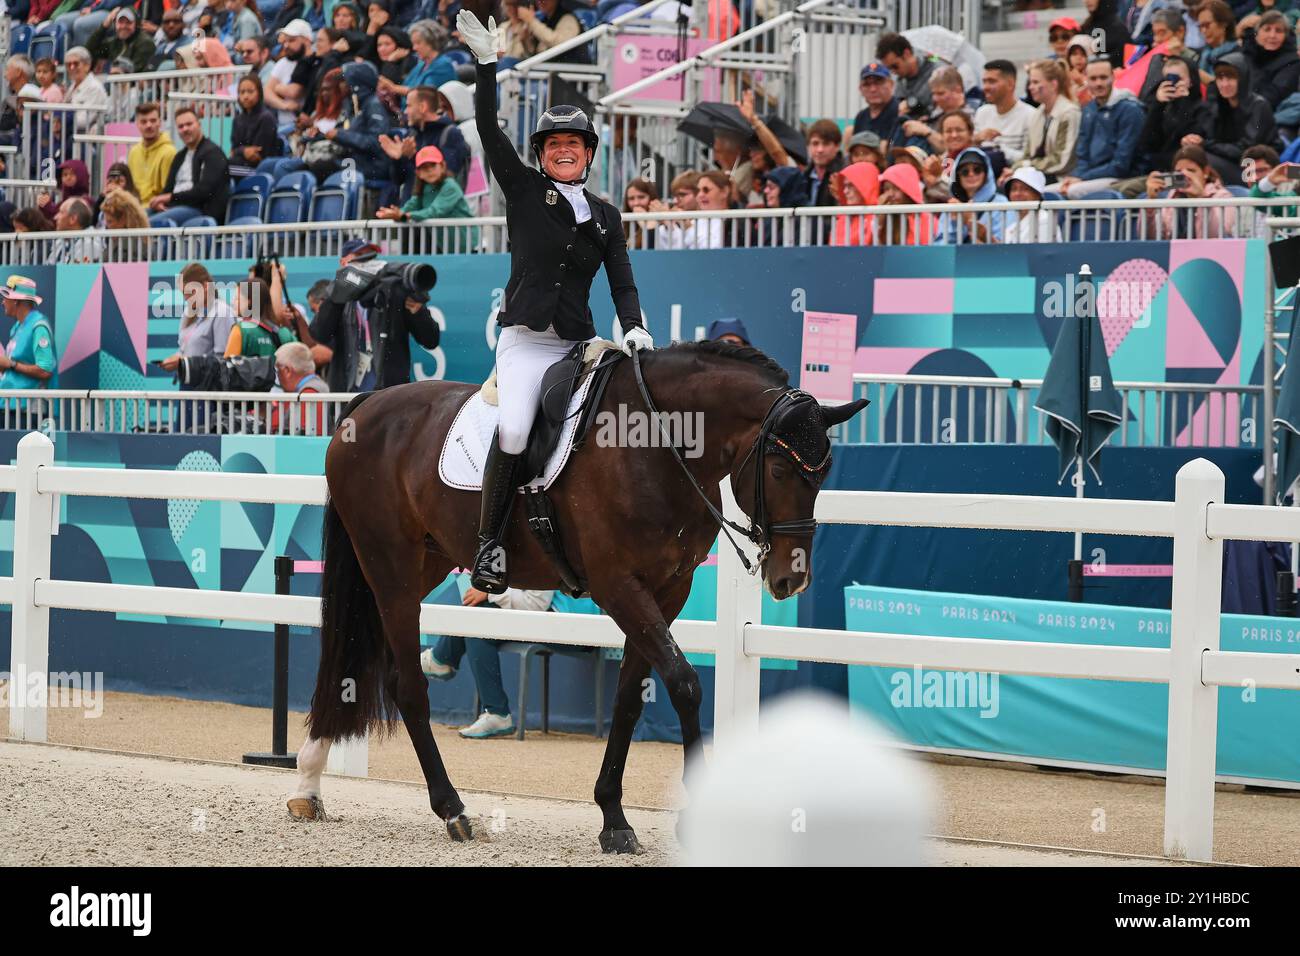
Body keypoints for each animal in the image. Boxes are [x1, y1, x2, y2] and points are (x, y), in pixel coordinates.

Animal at [289, 343, 868, 853]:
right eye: (779, 470)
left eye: (825, 472)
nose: (791, 579)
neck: (657, 447)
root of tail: (368, 403)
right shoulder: (618, 586)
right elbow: (684, 684)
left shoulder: (667, 591)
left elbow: (630, 697)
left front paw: (613, 818)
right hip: (389, 569)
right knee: (406, 685)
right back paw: (450, 808)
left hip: (418, 566)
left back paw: (309, 784)